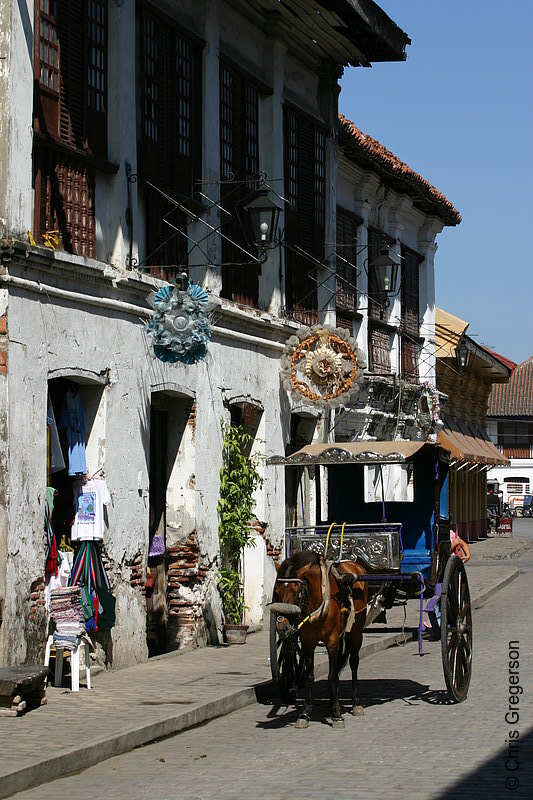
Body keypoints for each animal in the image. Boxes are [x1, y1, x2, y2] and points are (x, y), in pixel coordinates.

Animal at [270, 552, 366, 728]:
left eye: (297, 592)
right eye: (276, 592)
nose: (283, 627)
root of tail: (355, 565)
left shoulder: (332, 641)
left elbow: (332, 677)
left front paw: (337, 716)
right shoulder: (307, 642)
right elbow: (309, 677)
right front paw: (305, 713)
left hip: (356, 630)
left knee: (354, 661)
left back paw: (356, 703)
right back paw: (331, 702)